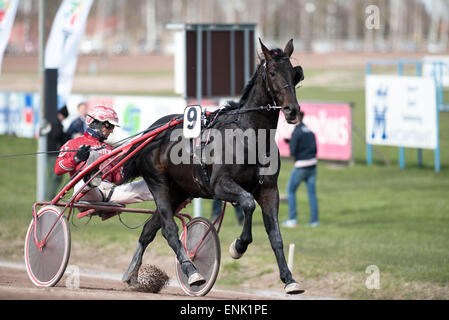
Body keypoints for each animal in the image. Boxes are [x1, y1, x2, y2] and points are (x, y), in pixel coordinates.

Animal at [121, 38, 304, 294]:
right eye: (273, 72)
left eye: (294, 73)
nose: (292, 110)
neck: (251, 135)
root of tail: (150, 132)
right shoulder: (219, 185)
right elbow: (248, 203)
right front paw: (238, 246)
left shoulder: (269, 190)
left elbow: (275, 235)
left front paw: (289, 279)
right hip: (158, 184)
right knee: (169, 230)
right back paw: (193, 272)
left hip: (178, 190)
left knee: (149, 229)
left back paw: (132, 274)